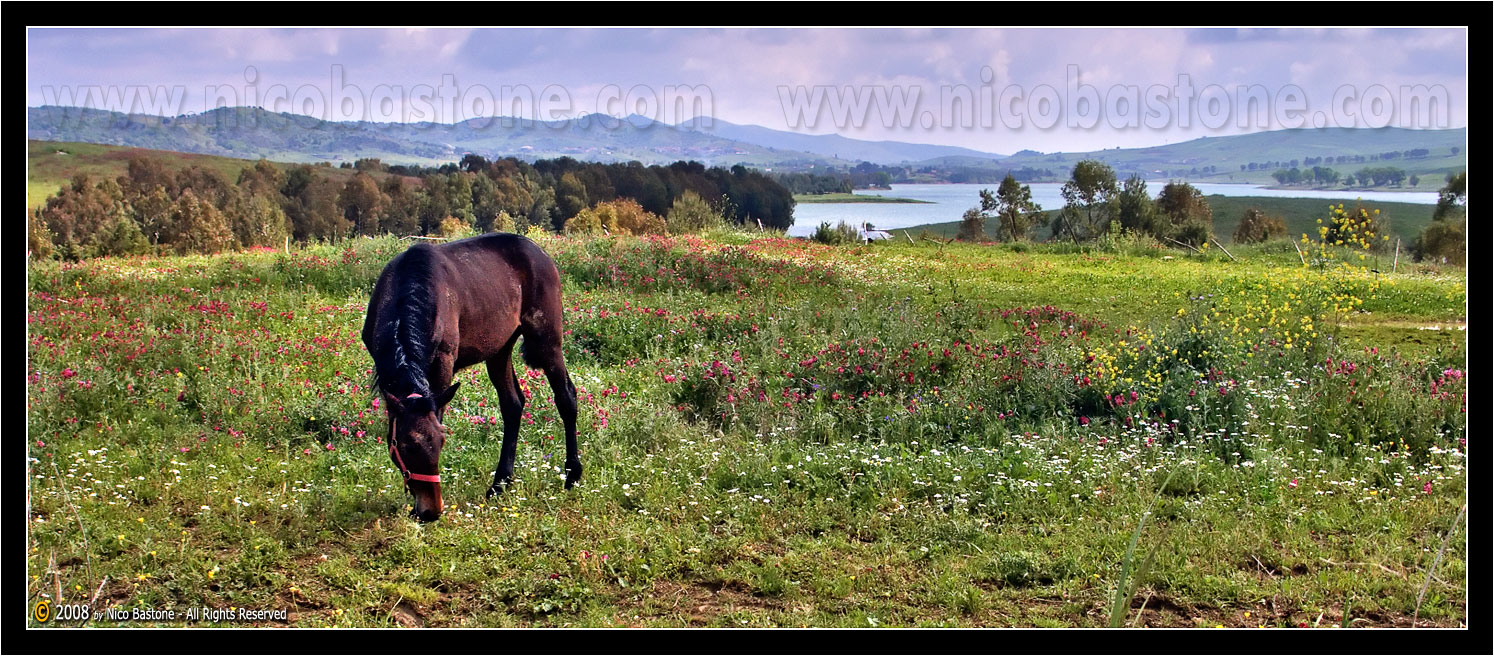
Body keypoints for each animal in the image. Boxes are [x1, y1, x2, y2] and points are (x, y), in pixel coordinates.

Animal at [361, 234, 582, 523]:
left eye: (441, 442)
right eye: (407, 446)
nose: (430, 511)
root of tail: (540, 253)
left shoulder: (443, 363)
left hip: (547, 340)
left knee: (566, 396)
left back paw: (572, 475)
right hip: (500, 349)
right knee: (513, 404)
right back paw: (500, 483)